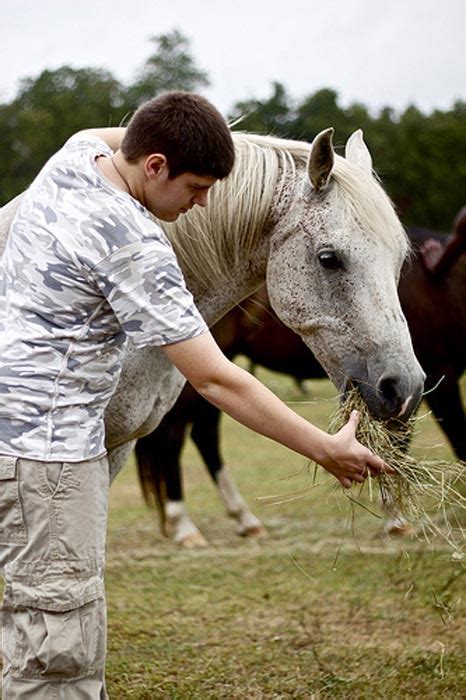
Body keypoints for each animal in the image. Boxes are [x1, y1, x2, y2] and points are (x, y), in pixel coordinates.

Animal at [137, 211, 464, 544]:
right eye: (329, 260)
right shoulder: (439, 377)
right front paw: (395, 519)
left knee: (203, 433)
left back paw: (244, 519)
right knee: (174, 435)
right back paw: (185, 525)